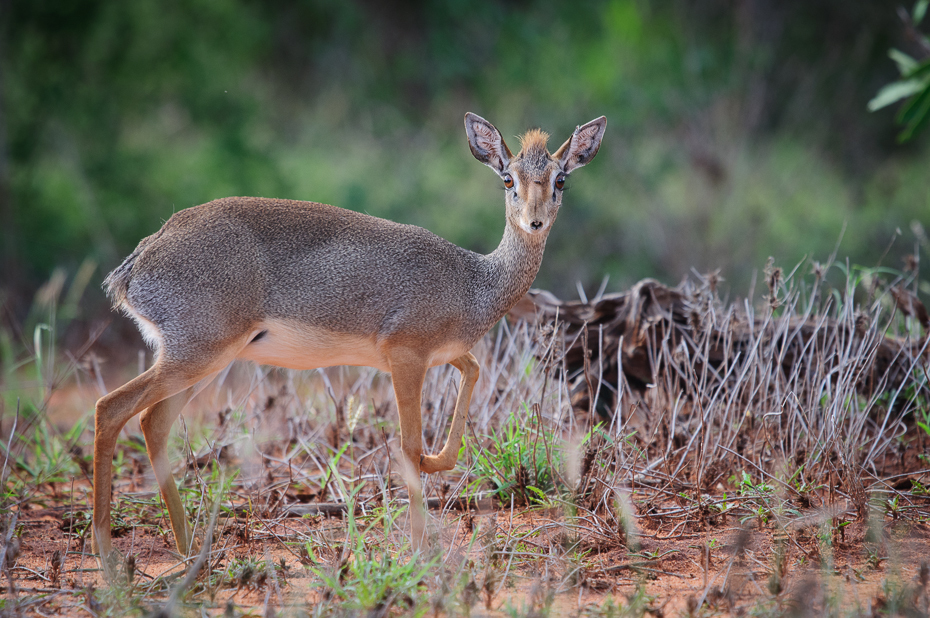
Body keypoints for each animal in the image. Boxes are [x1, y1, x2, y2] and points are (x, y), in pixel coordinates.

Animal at [92, 113, 600, 572]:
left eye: (560, 179)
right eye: (508, 178)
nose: (535, 222)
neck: (474, 281)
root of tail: (140, 260)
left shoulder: (445, 354)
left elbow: (468, 380)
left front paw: (437, 464)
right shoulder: (406, 354)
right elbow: (408, 446)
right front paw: (422, 552)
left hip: (201, 360)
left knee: (152, 423)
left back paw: (189, 551)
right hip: (195, 355)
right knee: (110, 408)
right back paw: (109, 554)